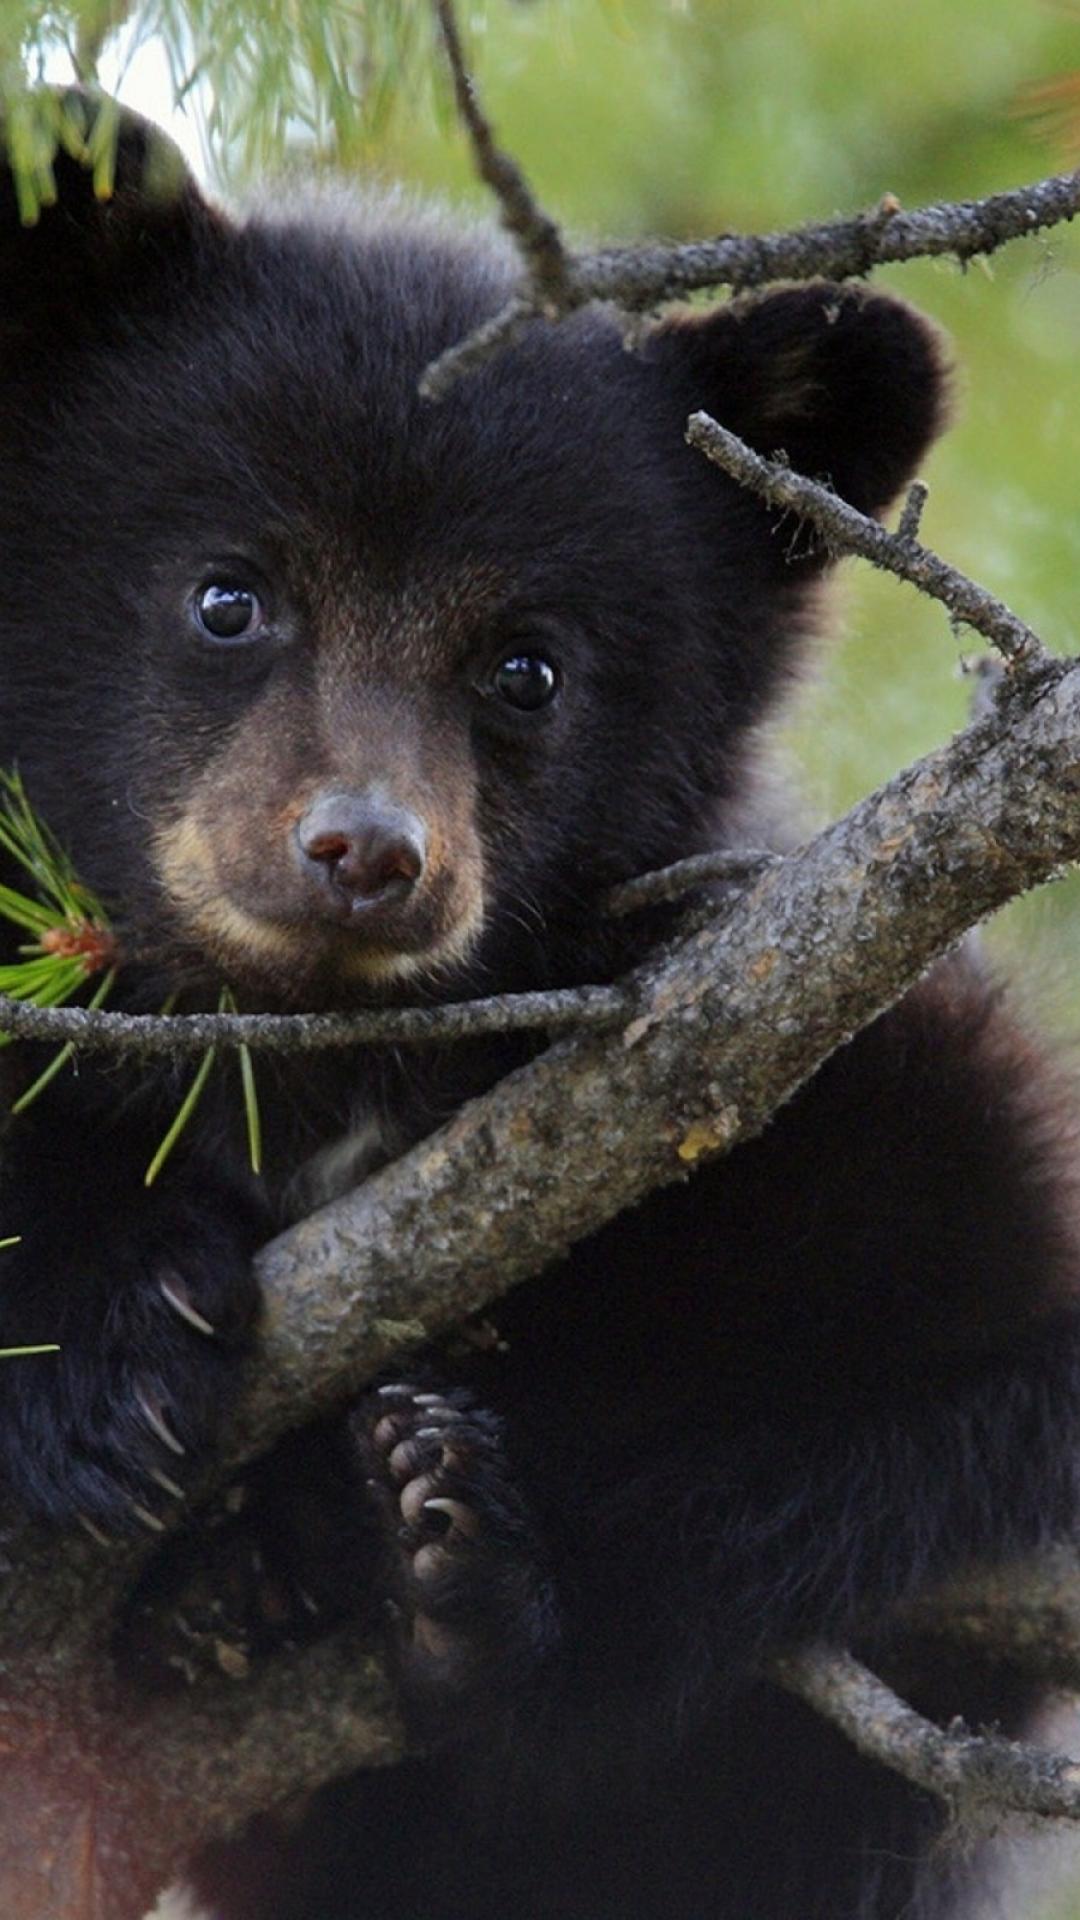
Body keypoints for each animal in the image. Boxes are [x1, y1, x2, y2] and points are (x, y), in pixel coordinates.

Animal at [0, 97, 1079, 1920]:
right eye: (228, 594)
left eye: (528, 666)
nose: (367, 851)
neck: (320, 1067)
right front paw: (106, 1339)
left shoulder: (853, 1036)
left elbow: (946, 1374)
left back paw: (451, 1567)